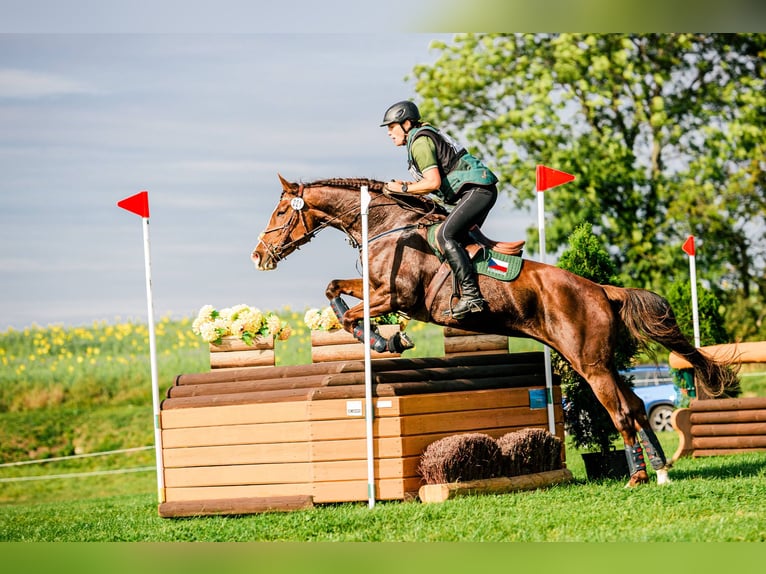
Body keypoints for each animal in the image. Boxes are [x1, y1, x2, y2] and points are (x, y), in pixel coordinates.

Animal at [251, 175, 738, 487]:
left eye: (281, 210)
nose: (259, 255)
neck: (389, 228)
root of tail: (601, 289)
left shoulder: (396, 296)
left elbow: (352, 316)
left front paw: (385, 340)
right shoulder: (374, 289)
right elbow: (334, 290)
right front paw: (386, 337)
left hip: (589, 362)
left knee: (620, 412)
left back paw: (636, 477)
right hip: (600, 361)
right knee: (636, 406)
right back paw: (660, 471)